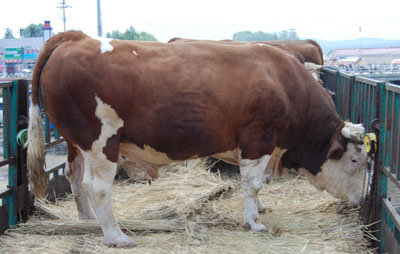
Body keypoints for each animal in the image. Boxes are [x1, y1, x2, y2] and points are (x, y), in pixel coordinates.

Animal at [27, 31, 366, 248]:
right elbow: (252, 184)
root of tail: (75, 38)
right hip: (102, 143)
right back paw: (115, 236)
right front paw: (253, 221)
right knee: (96, 188)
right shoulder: (259, 139)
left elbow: (254, 184)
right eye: (355, 159)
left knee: (74, 177)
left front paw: (259, 208)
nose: (361, 200)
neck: (284, 83)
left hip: (79, 145)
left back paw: (86, 221)